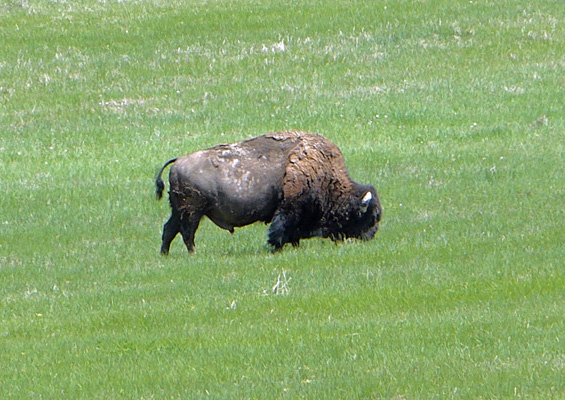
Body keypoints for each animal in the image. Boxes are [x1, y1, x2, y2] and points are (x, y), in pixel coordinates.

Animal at [156, 131, 382, 253]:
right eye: (371, 218)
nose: (369, 237)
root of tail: (178, 161)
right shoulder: (289, 209)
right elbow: (280, 229)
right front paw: (276, 247)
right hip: (192, 211)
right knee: (186, 232)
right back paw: (193, 253)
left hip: (179, 210)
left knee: (169, 230)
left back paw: (165, 254)